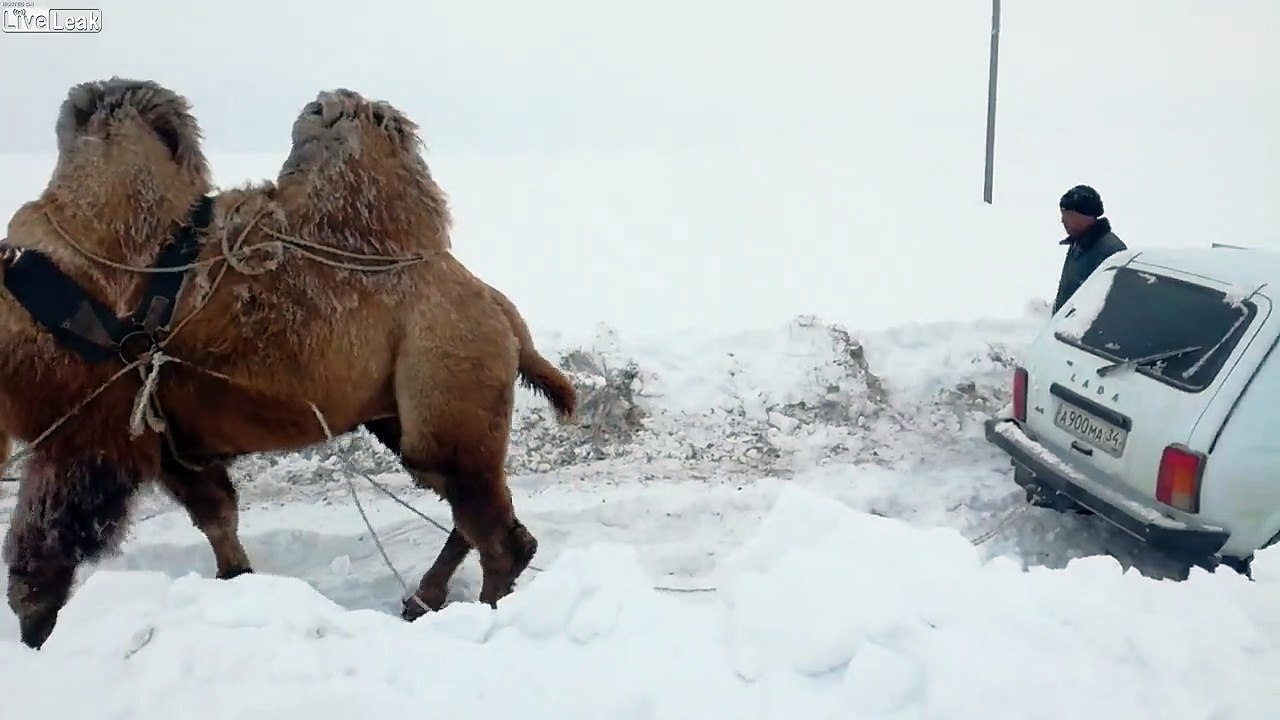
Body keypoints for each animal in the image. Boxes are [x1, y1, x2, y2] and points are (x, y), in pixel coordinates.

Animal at [0, 77, 577, 649]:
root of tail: (496, 304)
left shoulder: (88, 425)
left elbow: (41, 550)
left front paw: (37, 635)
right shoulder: (169, 435)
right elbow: (217, 514)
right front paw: (235, 579)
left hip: (448, 371)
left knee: (493, 527)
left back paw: (480, 613)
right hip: (402, 410)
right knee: (472, 504)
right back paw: (422, 600)